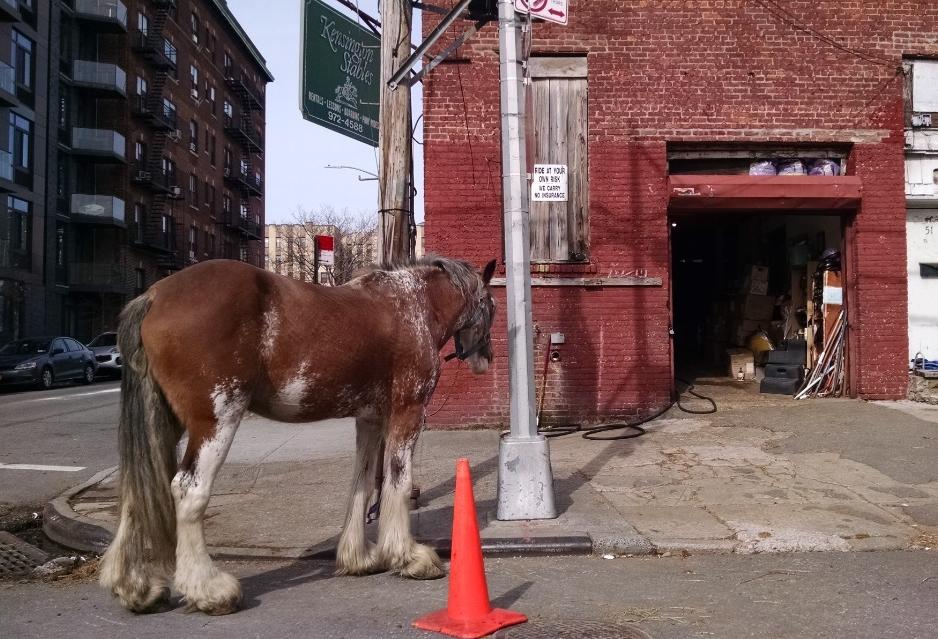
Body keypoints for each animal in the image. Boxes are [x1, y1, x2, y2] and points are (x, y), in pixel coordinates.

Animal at [98, 255, 497, 615]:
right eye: (491, 306)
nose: (487, 359)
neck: (411, 305)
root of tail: (154, 296)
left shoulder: (369, 420)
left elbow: (363, 482)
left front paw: (358, 559)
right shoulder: (407, 412)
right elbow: (398, 482)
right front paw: (409, 558)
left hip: (165, 422)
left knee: (137, 488)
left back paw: (136, 589)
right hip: (217, 419)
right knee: (187, 490)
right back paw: (210, 591)